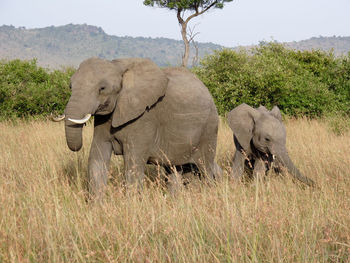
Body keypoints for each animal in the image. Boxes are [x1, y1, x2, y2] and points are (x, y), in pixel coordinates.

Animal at [53, 58, 220, 198]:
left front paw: (130, 205)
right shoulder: (104, 119)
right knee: (174, 169)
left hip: (210, 128)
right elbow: (97, 157)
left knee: (205, 167)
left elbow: (133, 163)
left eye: (102, 88)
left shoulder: (144, 117)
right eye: (70, 86)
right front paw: (96, 207)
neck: (118, 66)